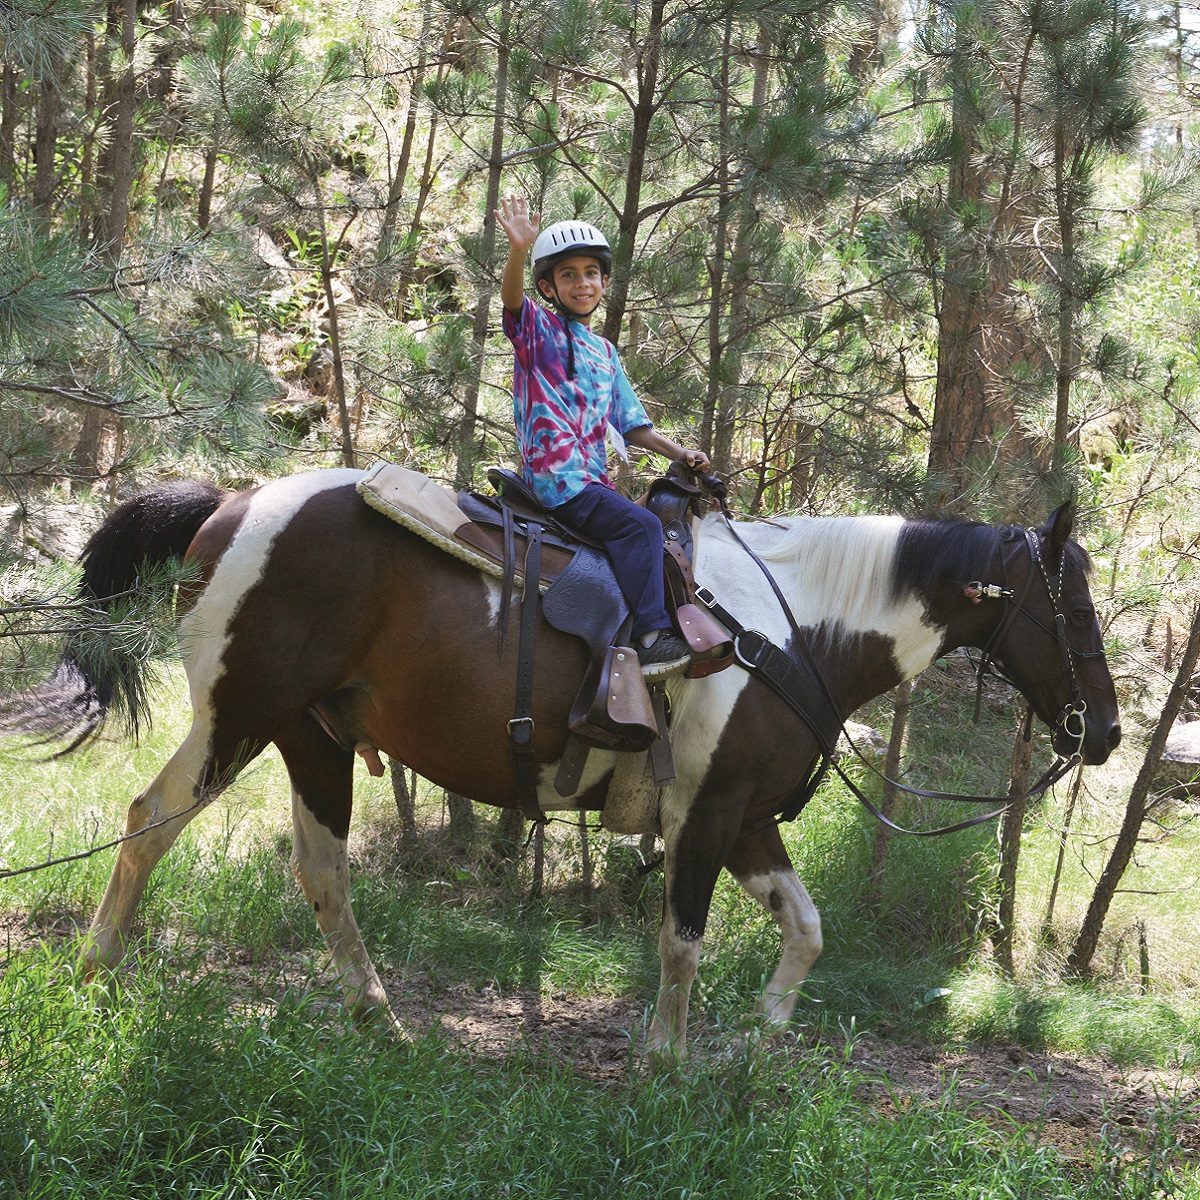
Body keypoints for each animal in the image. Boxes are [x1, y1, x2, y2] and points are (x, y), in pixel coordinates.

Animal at [4, 468, 1118, 1060]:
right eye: (1072, 608)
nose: (1103, 733)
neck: (789, 630)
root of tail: (232, 503)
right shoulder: (705, 814)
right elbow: (682, 942)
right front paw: (667, 1062)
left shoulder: (747, 816)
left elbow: (805, 930)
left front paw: (761, 1043)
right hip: (238, 715)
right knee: (151, 817)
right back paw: (97, 971)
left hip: (311, 736)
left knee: (320, 873)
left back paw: (381, 1019)